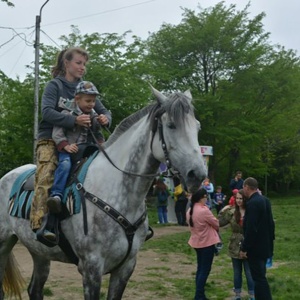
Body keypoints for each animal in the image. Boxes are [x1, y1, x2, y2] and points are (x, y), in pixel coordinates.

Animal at [0, 85, 206, 298]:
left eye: (197, 127)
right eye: (172, 125)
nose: (197, 175)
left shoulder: (126, 267)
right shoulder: (92, 267)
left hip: (39, 251)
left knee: (35, 288)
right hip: (4, 244)